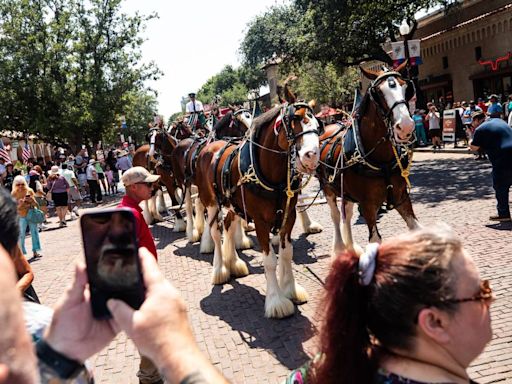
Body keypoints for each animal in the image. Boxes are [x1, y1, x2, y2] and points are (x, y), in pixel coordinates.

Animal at [195, 83, 320, 318]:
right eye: (295, 119)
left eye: (318, 123)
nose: (312, 156)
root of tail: (210, 146)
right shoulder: (261, 222)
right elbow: (270, 261)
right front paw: (276, 302)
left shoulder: (288, 217)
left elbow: (286, 253)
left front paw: (291, 289)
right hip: (212, 202)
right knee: (216, 233)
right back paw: (220, 270)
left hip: (234, 205)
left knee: (229, 226)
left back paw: (234, 263)